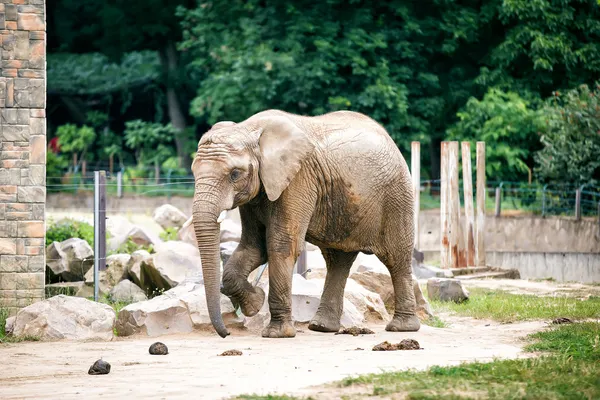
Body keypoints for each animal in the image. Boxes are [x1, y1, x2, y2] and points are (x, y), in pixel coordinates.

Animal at [191, 109, 418, 338]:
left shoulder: (298, 179)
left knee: (396, 258)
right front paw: (255, 303)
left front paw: (277, 334)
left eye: (235, 174)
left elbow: (281, 246)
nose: (226, 333)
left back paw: (401, 328)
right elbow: (253, 247)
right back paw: (322, 327)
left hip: (397, 196)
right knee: (338, 261)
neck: (248, 129)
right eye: (193, 172)